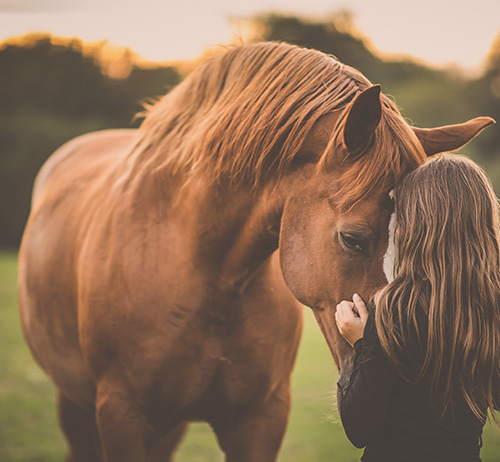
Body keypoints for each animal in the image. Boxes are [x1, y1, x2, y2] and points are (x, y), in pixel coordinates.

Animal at [17, 41, 494, 460]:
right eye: (353, 238)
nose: (408, 379)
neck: (199, 269)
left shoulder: (261, 420)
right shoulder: (121, 414)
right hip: (77, 405)